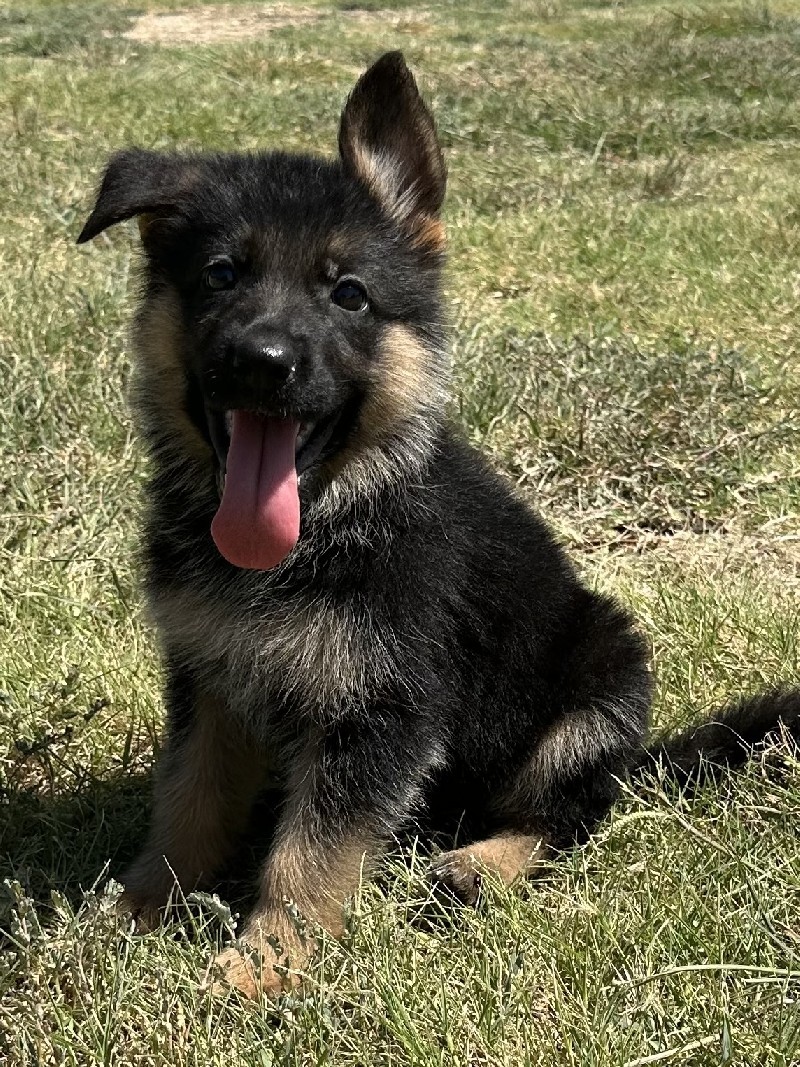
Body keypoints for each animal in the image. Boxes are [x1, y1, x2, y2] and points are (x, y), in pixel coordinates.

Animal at [76, 52, 800, 998]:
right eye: (222, 276)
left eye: (348, 295)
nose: (262, 362)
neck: (329, 519)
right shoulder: (209, 680)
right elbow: (188, 802)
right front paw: (133, 907)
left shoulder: (385, 709)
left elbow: (312, 849)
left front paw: (266, 962)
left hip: (599, 686)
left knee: (570, 814)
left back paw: (478, 864)